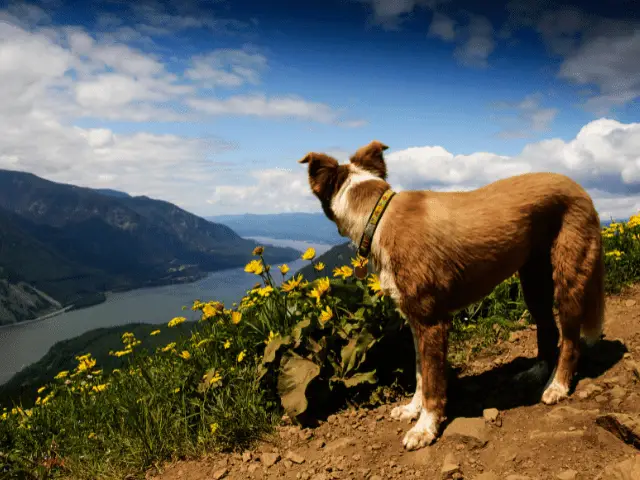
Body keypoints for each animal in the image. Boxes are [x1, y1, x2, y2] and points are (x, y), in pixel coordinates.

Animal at [300, 139, 604, 450]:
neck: (378, 216)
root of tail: (580, 188)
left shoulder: (432, 323)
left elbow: (433, 383)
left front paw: (425, 427)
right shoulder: (415, 321)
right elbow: (420, 374)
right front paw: (412, 409)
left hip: (569, 277)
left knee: (571, 341)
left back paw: (558, 385)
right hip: (533, 280)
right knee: (548, 328)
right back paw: (538, 372)